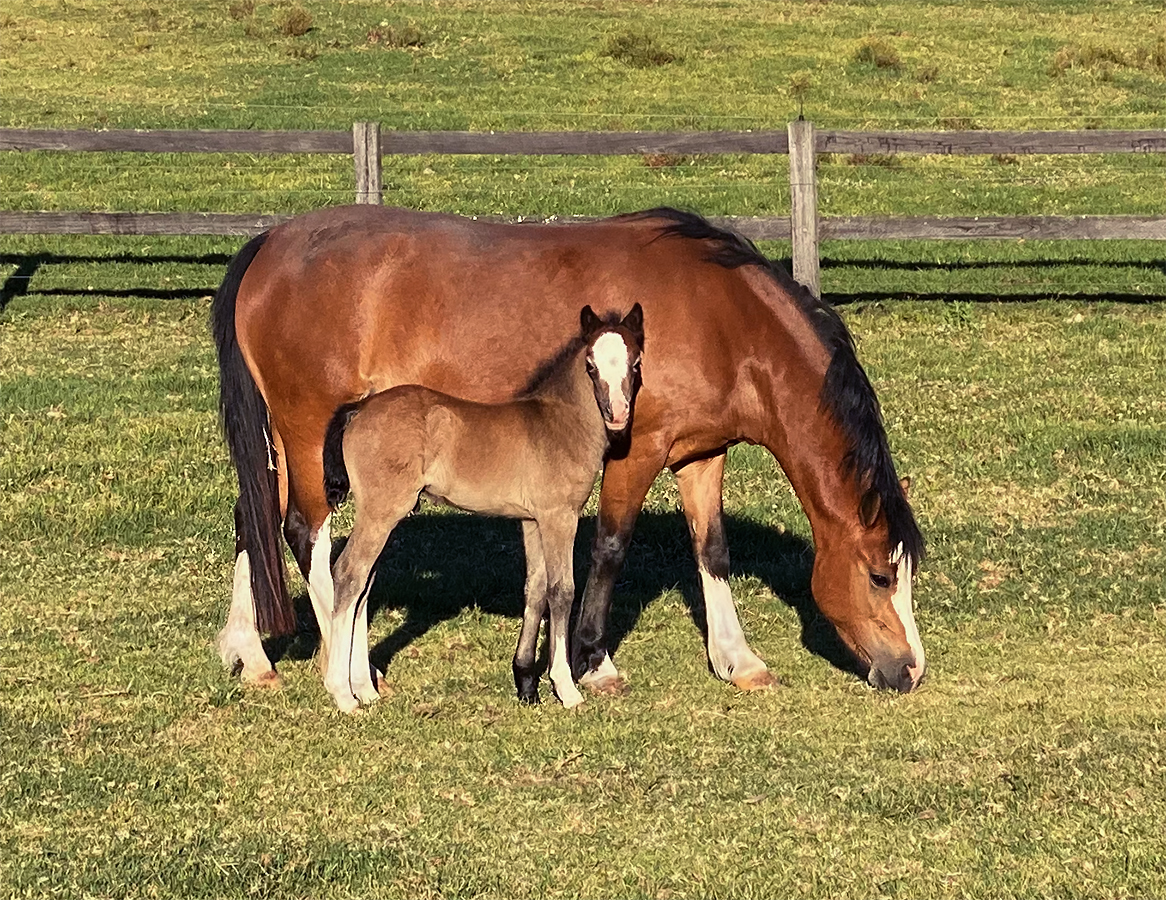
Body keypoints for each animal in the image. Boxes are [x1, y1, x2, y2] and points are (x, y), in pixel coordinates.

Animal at [318, 304, 644, 711]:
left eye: (635, 362)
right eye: (590, 365)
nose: (617, 414)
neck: (558, 424)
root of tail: (360, 409)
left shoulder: (531, 519)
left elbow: (535, 588)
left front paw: (526, 684)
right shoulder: (560, 516)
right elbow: (562, 590)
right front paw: (565, 688)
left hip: (381, 515)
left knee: (364, 584)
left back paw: (365, 688)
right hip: (381, 512)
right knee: (348, 574)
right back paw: (342, 694)